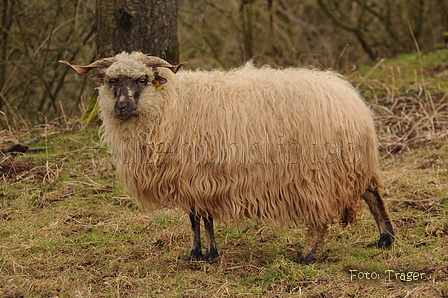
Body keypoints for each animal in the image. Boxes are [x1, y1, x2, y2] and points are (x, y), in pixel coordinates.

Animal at [57, 51, 394, 264]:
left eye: (142, 80)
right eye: (112, 81)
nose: (122, 107)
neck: (174, 105)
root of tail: (351, 99)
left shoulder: (198, 175)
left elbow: (201, 217)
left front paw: (206, 255)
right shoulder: (195, 178)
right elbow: (197, 218)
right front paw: (198, 254)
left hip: (319, 172)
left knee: (321, 219)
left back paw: (308, 256)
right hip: (350, 163)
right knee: (372, 193)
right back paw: (385, 238)